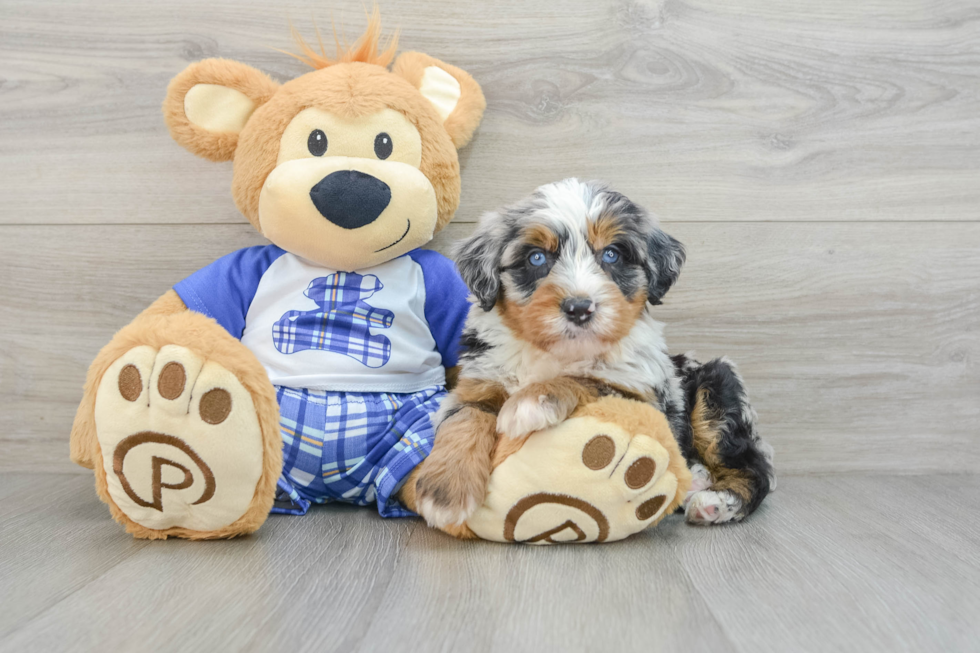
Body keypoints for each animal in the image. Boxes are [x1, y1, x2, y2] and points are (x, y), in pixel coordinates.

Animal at [412, 177, 772, 528]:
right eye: (536, 258)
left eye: (611, 254)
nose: (579, 308)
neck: (555, 352)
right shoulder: (478, 382)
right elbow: (464, 417)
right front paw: (445, 491)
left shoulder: (642, 397)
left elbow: (587, 379)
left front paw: (531, 401)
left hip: (717, 390)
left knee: (753, 467)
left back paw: (715, 501)